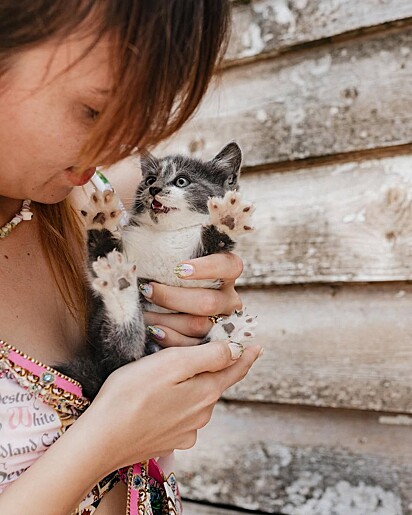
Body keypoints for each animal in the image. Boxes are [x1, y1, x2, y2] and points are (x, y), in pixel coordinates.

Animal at [54, 141, 254, 400]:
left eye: (182, 181)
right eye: (149, 179)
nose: (154, 189)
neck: (166, 234)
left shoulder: (200, 270)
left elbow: (213, 245)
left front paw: (227, 219)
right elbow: (100, 261)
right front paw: (102, 223)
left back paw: (229, 330)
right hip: (103, 331)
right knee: (122, 353)